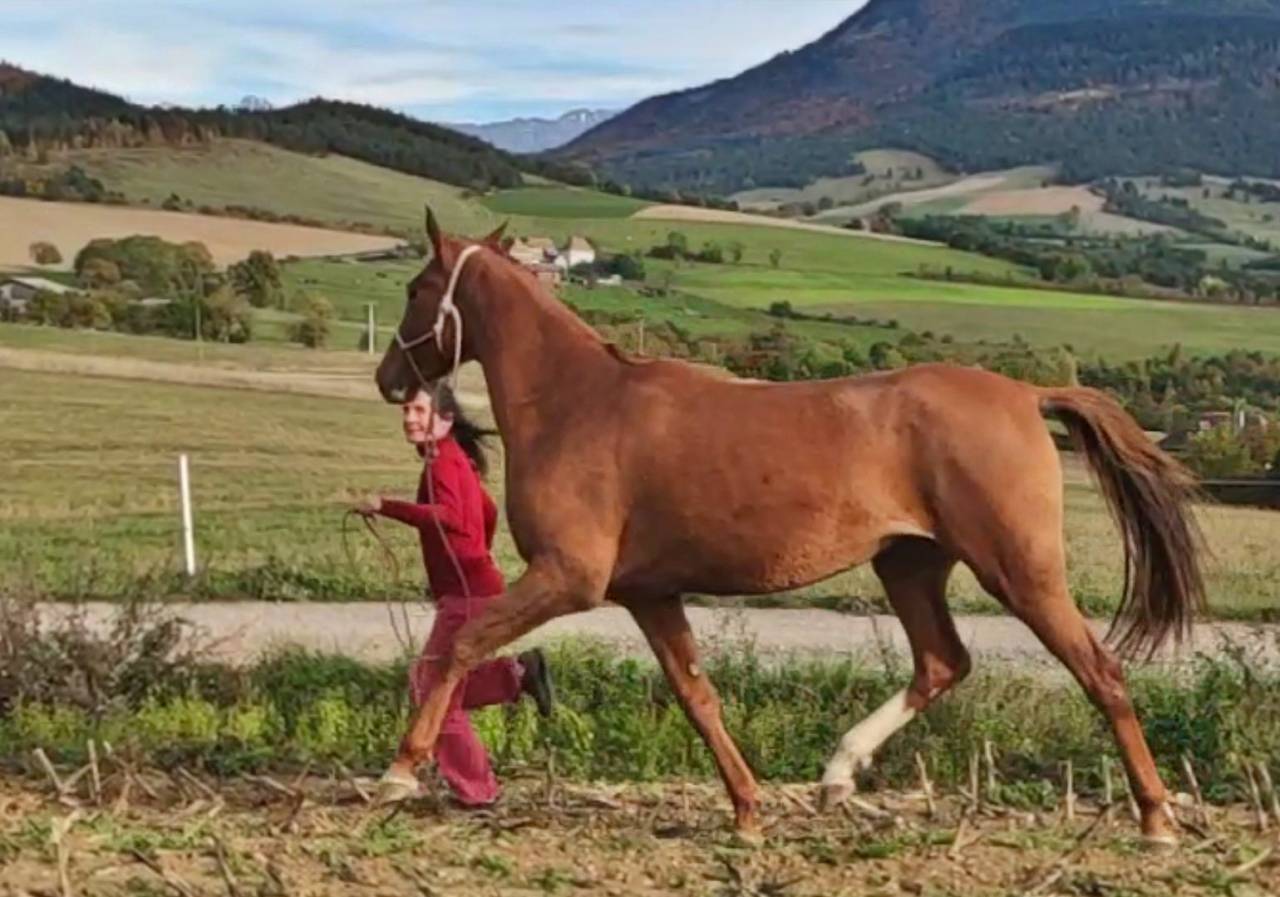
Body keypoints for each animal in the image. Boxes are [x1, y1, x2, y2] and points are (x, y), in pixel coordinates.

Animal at [373, 211, 1206, 846]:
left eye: (415, 289)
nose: (388, 378)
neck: (577, 402)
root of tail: (1030, 394)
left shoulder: (567, 576)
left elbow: (465, 640)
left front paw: (398, 770)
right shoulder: (649, 592)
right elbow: (698, 694)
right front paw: (747, 812)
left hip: (1019, 569)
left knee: (1100, 671)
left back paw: (1157, 817)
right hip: (909, 563)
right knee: (943, 661)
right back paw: (837, 775)